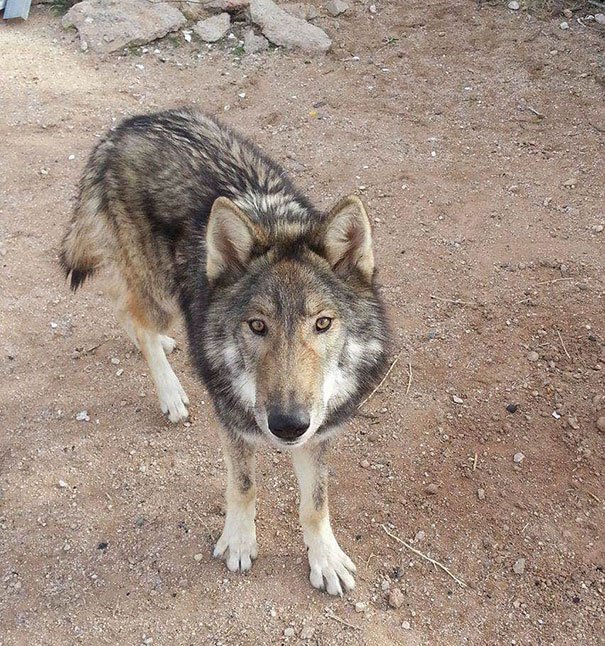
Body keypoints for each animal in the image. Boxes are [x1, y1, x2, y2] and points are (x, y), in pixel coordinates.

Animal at [59, 107, 390, 596]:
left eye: (322, 323)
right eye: (257, 325)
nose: (287, 426)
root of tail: (127, 125)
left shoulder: (319, 433)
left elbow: (315, 503)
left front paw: (325, 559)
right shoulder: (233, 423)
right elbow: (244, 486)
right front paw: (238, 542)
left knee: (127, 312)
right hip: (157, 291)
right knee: (135, 316)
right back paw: (171, 393)